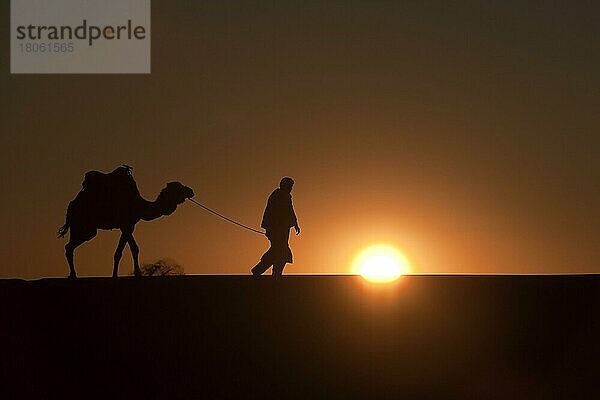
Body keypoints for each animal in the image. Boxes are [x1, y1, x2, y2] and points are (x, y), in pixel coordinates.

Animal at [57, 166, 193, 278]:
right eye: (178, 187)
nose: (191, 191)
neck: (139, 205)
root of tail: (71, 205)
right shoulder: (126, 225)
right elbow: (119, 252)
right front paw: (114, 275)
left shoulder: (129, 225)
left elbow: (134, 248)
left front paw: (138, 273)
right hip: (83, 226)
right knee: (69, 246)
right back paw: (73, 274)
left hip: (82, 227)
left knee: (69, 246)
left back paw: (72, 274)